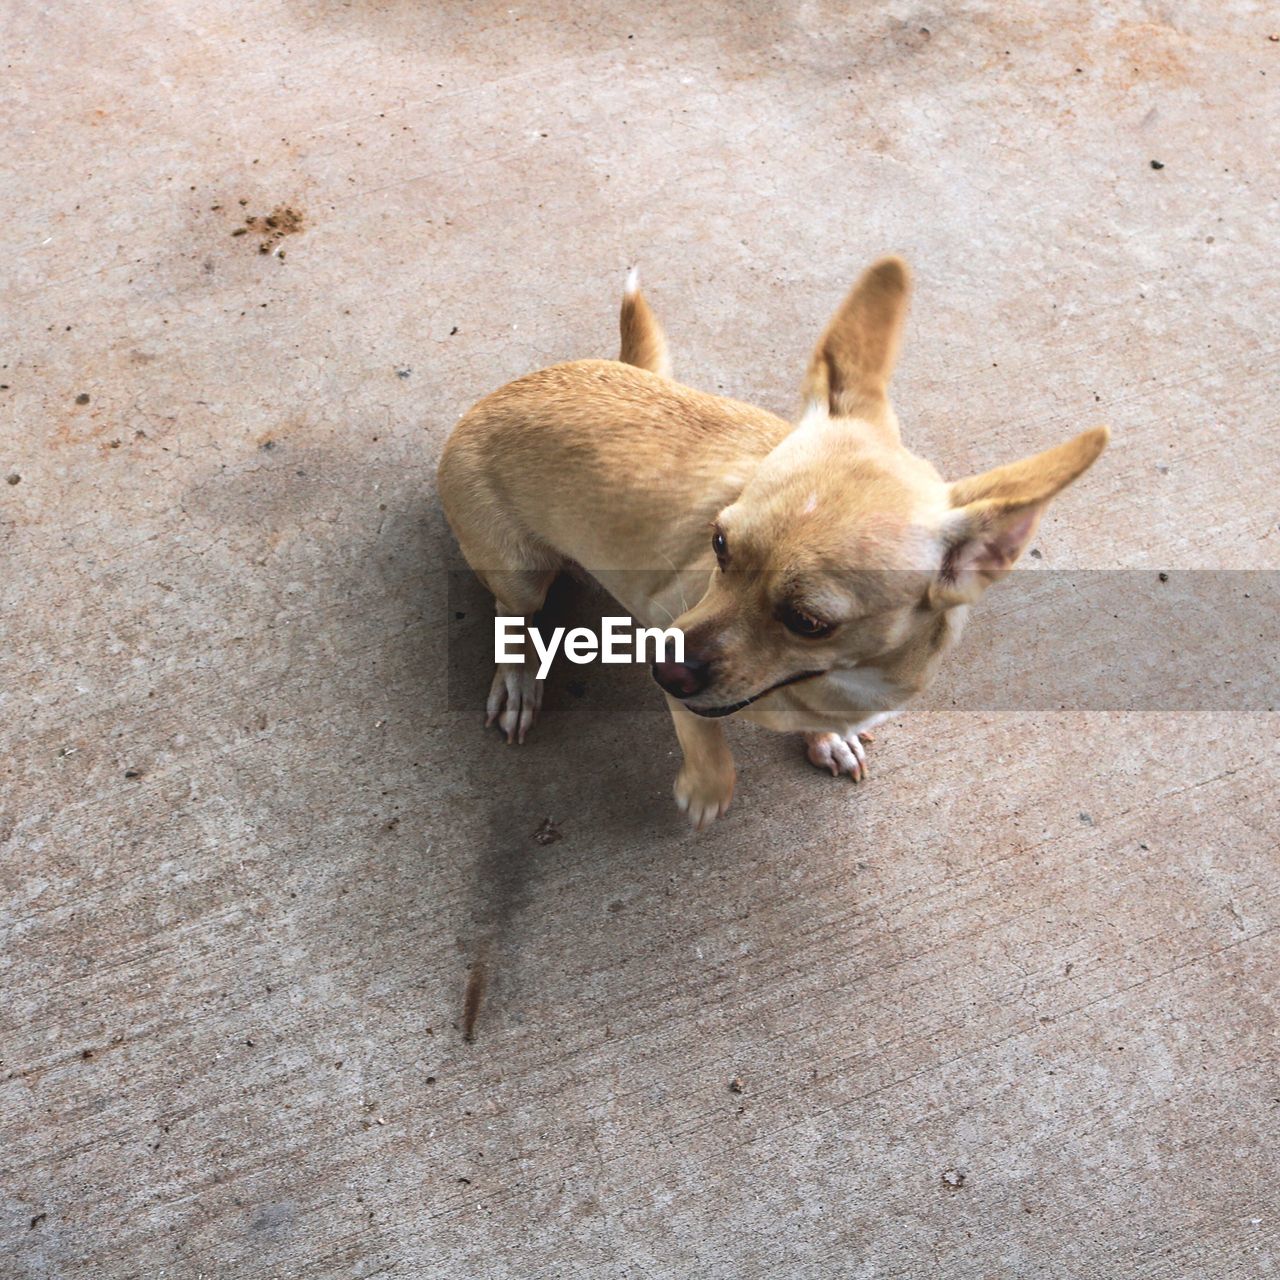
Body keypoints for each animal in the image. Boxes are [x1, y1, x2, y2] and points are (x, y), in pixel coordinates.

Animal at [435, 259, 1105, 829]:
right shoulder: (673, 640)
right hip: (520, 574)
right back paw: (520, 677)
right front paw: (706, 788)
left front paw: (826, 739)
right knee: (510, 616)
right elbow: (709, 744)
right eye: (719, 544)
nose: (661, 669)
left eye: (809, 622)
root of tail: (507, 390)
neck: (838, 681)